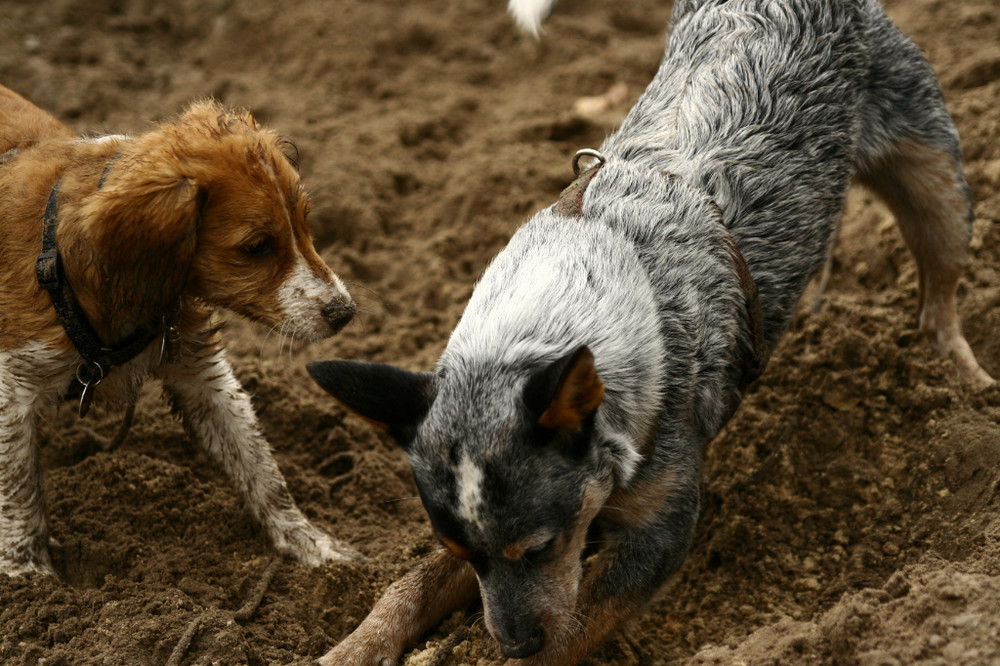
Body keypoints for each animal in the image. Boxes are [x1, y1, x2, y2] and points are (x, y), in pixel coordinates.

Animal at [0, 84, 360, 576]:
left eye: (305, 224)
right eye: (257, 247)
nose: (345, 311)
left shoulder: (200, 371)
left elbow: (259, 465)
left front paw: (311, 544)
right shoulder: (12, 389)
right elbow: (19, 489)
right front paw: (29, 576)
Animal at [310, 2, 992, 660]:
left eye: (541, 547)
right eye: (464, 556)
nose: (516, 642)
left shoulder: (660, 528)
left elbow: (575, 629)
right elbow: (406, 587)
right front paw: (345, 651)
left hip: (933, 168)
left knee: (940, 296)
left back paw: (960, 381)